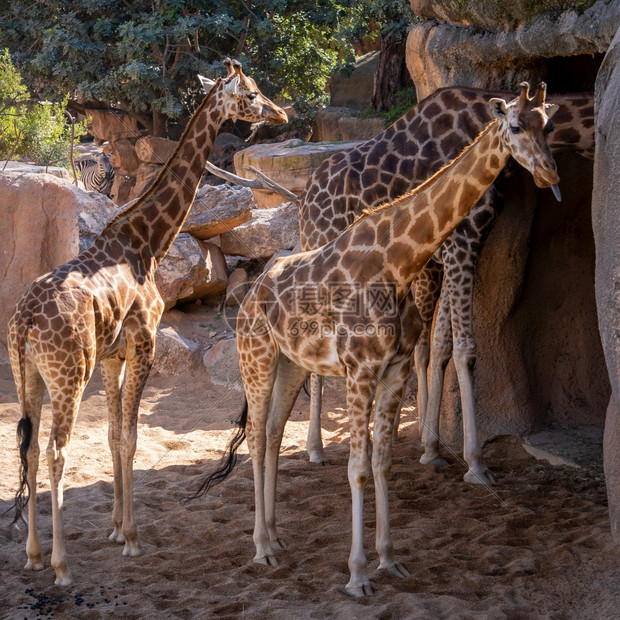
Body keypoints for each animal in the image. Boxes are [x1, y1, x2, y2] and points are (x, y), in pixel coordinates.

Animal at [6, 59, 286, 588]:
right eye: (252, 92)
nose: (281, 113)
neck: (148, 242)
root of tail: (25, 322)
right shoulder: (144, 344)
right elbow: (132, 438)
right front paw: (133, 539)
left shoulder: (113, 356)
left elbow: (115, 436)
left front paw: (117, 528)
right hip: (69, 374)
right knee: (56, 452)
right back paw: (61, 566)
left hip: (26, 373)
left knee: (28, 448)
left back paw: (32, 555)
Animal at [195, 82, 560, 596]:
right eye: (514, 126)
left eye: (547, 124)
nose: (549, 173)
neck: (398, 261)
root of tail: (252, 293)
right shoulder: (360, 372)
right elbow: (358, 469)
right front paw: (357, 574)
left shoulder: (395, 371)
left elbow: (384, 463)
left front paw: (389, 559)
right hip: (257, 358)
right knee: (256, 439)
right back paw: (262, 548)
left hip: (291, 365)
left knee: (272, 433)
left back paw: (276, 537)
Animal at [300, 85, 596, 482]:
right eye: (516, 127)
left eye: (548, 128)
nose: (549, 174)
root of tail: (304, 201)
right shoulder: (462, 243)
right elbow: (465, 350)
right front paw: (475, 462)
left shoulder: (452, 255)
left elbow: (439, 346)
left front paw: (431, 447)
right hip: (324, 258)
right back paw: (316, 448)